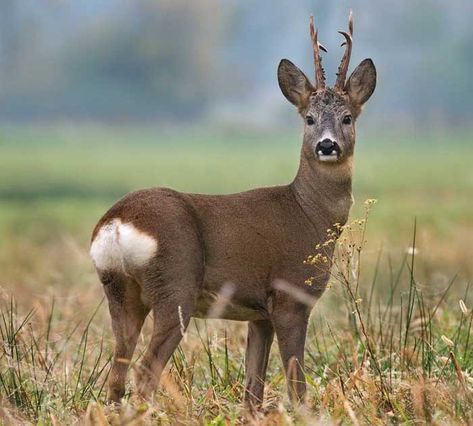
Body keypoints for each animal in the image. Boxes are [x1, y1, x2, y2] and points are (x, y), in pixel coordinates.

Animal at [89, 11, 376, 408]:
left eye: (348, 117)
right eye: (309, 118)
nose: (327, 145)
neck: (309, 213)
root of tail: (117, 223)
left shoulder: (260, 315)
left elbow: (253, 389)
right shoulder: (289, 296)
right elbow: (296, 383)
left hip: (120, 291)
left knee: (116, 374)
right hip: (175, 286)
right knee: (145, 371)